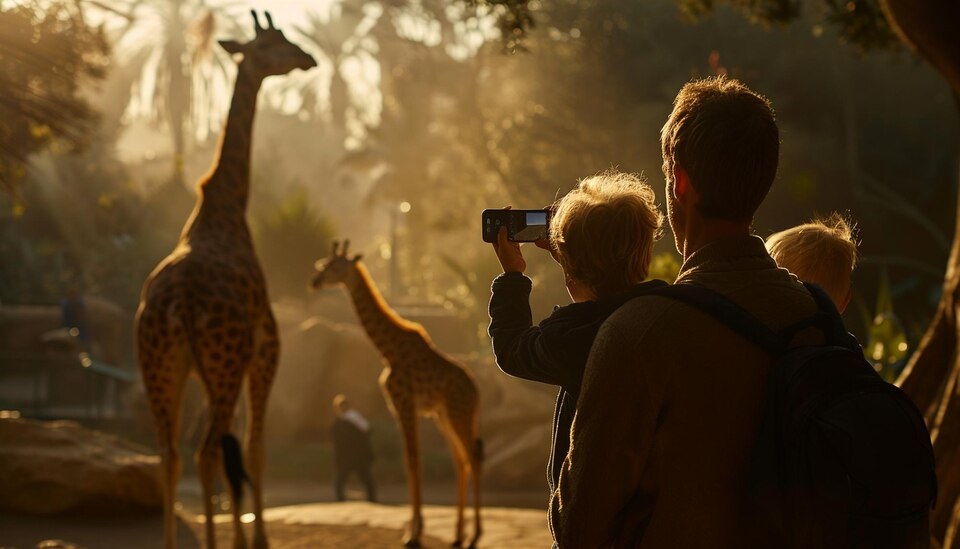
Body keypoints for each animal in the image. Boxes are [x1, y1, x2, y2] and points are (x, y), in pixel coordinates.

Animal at [136, 12, 316, 548]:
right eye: (275, 44)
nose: (308, 58)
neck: (227, 208)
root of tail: (179, 305)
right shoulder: (266, 348)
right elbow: (254, 449)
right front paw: (255, 539)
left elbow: (236, 453)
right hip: (224, 362)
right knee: (206, 451)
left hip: (162, 365)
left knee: (172, 456)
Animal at [314, 241, 484, 548]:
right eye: (322, 264)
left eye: (335, 267)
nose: (315, 282)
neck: (388, 350)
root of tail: (476, 391)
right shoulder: (402, 407)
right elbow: (411, 460)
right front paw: (413, 529)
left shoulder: (404, 403)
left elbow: (412, 460)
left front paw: (413, 533)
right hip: (445, 416)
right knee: (461, 461)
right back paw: (457, 535)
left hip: (458, 414)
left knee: (472, 459)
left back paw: (475, 534)